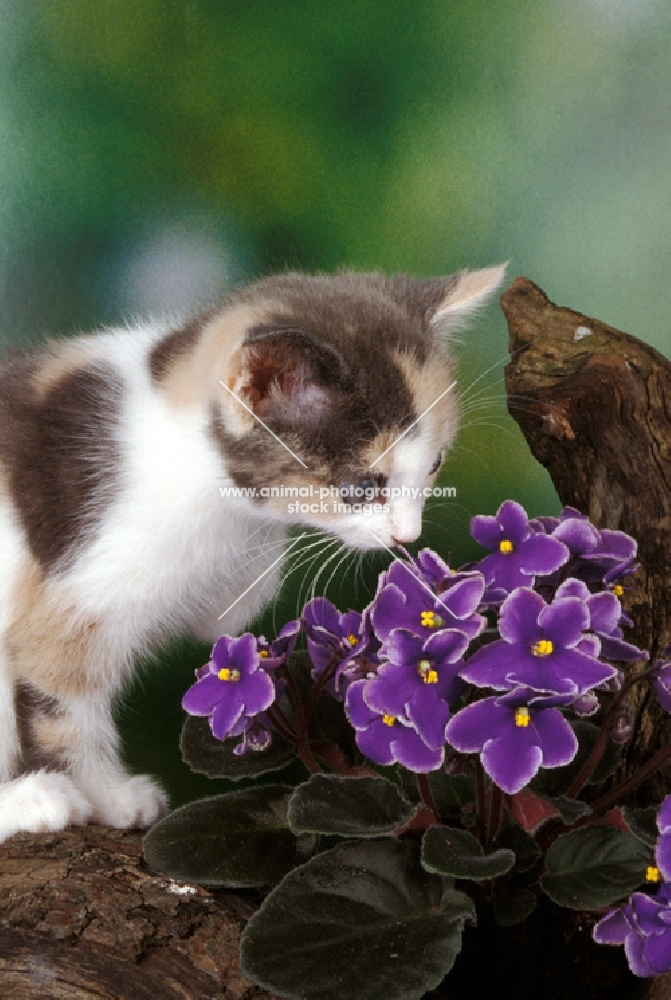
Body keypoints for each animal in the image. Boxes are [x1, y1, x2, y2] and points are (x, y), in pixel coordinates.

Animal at [0, 262, 506, 840]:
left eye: (435, 465)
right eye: (361, 487)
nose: (407, 535)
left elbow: (227, 607)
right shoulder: (71, 602)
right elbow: (68, 709)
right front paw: (109, 798)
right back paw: (32, 800)